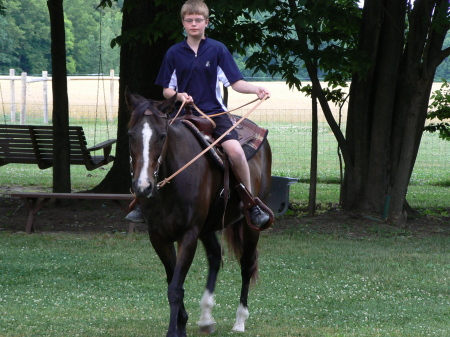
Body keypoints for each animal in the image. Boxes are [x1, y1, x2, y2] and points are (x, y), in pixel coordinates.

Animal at [126, 90, 272, 336]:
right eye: (130, 135)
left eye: (162, 136)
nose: (143, 187)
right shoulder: (158, 237)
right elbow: (172, 280)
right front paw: (182, 324)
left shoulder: (189, 234)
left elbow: (175, 287)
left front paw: (175, 331)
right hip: (208, 227)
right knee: (214, 256)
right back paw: (206, 317)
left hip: (248, 226)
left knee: (247, 264)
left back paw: (240, 320)